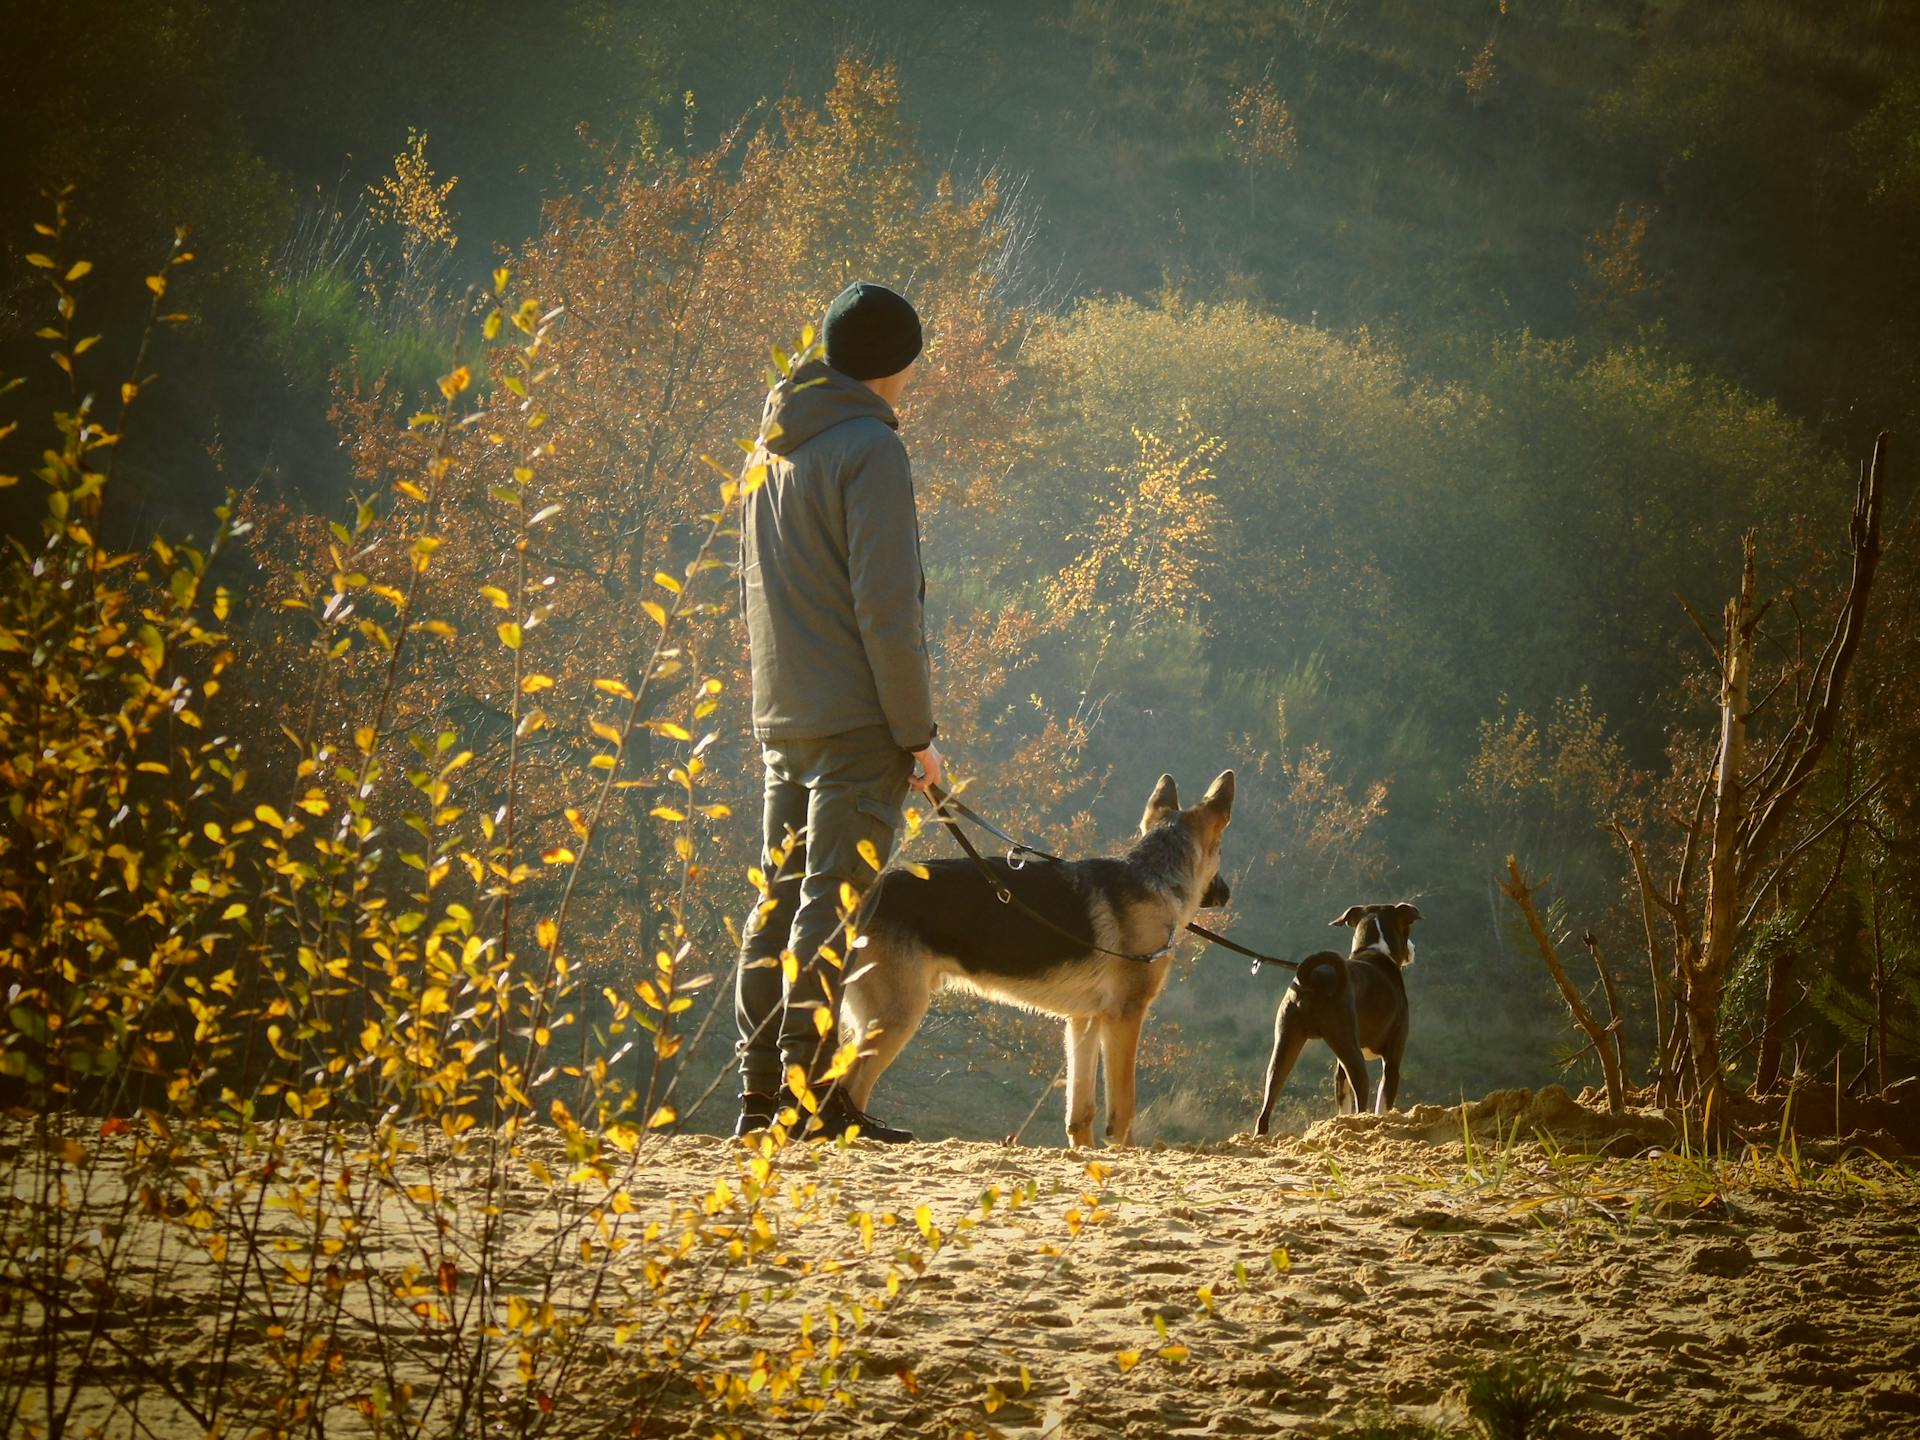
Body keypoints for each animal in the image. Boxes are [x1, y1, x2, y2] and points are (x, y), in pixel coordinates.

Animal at [844, 779, 1236, 1152]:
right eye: (1220, 851)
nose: (1228, 893)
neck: (1155, 875)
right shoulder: (1125, 1017)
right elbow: (1123, 1106)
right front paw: (1128, 1152)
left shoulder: (1084, 1022)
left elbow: (1080, 1110)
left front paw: (1084, 1152)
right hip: (899, 1017)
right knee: (849, 1085)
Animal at [1251, 906, 1420, 1136]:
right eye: (1407, 927)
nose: (1413, 948)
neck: (1375, 950)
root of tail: (1314, 978)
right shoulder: (1392, 1062)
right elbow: (1382, 1105)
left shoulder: (1340, 1069)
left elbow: (1343, 1105)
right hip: (1351, 1052)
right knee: (1361, 1099)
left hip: (1286, 1045)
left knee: (1268, 1101)